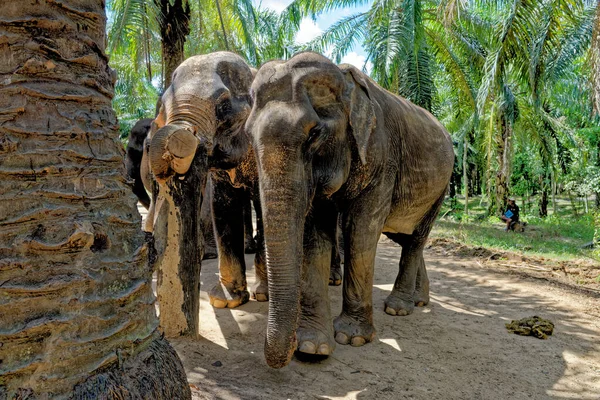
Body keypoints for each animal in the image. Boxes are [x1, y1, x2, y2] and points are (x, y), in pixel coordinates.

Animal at [245, 51, 454, 368]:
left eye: (314, 133)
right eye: (248, 134)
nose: (289, 347)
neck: (345, 79)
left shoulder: (382, 157)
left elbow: (360, 230)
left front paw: (351, 338)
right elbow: (314, 235)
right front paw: (312, 348)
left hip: (442, 187)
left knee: (416, 238)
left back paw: (398, 308)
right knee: (404, 236)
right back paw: (420, 301)